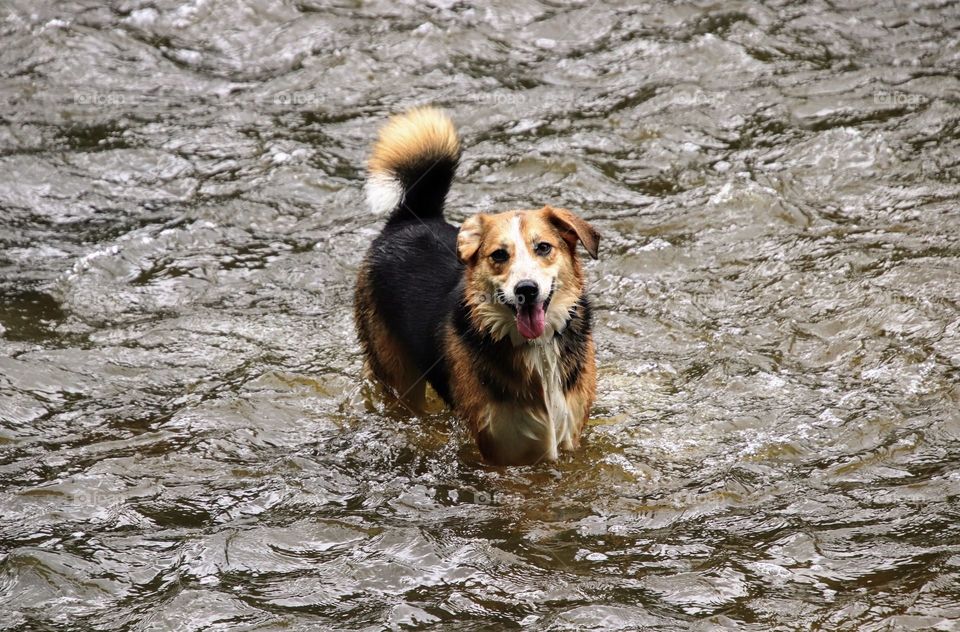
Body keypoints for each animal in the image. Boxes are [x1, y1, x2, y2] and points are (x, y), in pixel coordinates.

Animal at [352, 107, 600, 464]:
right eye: (499, 255)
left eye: (543, 248)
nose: (526, 290)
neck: (536, 350)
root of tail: (410, 217)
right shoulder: (500, 452)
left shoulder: (569, 436)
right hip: (398, 374)